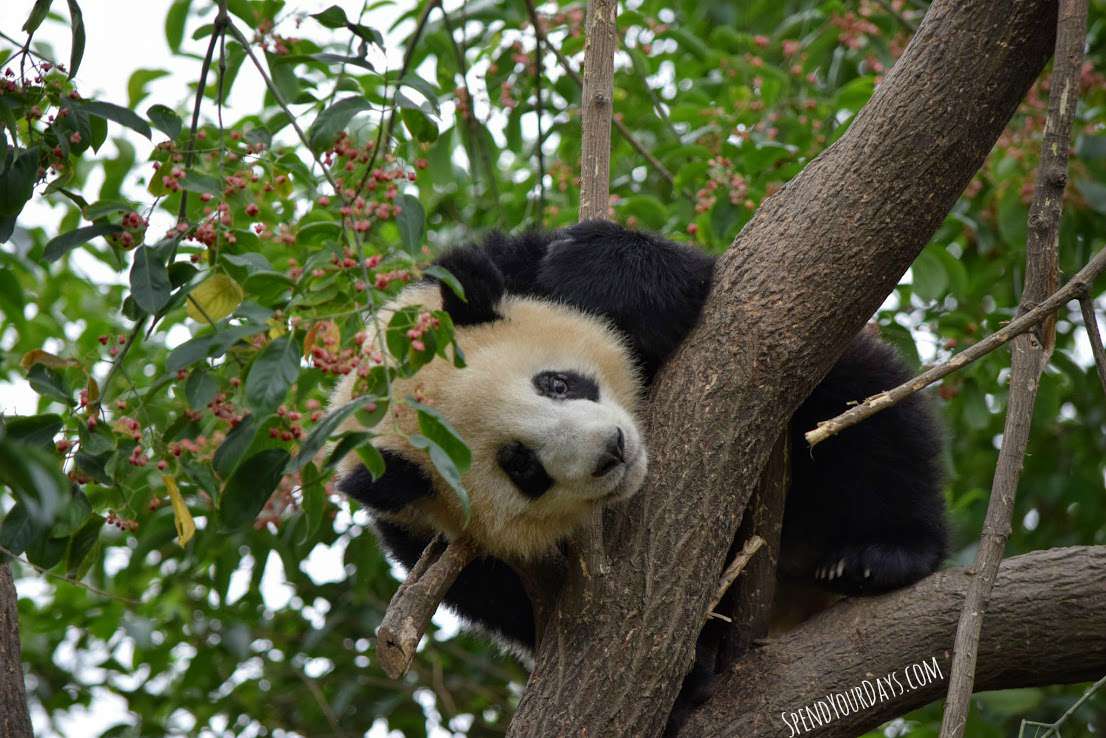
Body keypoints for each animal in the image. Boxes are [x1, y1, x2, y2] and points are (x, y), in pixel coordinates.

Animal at [327, 221, 942, 659]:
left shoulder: (514, 269)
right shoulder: (421, 531)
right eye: (521, 466)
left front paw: (588, 270)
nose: (611, 451)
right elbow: (500, 598)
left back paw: (881, 556)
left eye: (555, 384)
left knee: (859, 410)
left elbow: (650, 280)